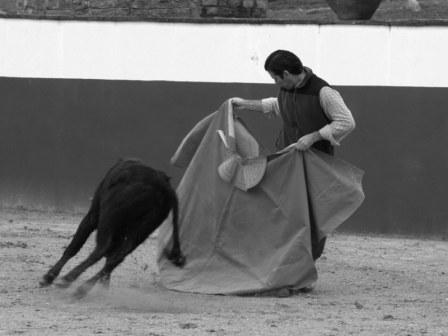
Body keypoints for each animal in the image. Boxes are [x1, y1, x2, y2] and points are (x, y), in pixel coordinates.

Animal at [39, 159, 186, 298]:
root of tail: (164, 184)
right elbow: (111, 257)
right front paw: (104, 286)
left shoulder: (92, 216)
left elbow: (74, 247)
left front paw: (49, 277)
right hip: (142, 231)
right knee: (116, 258)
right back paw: (84, 289)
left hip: (108, 218)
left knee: (101, 249)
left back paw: (68, 280)